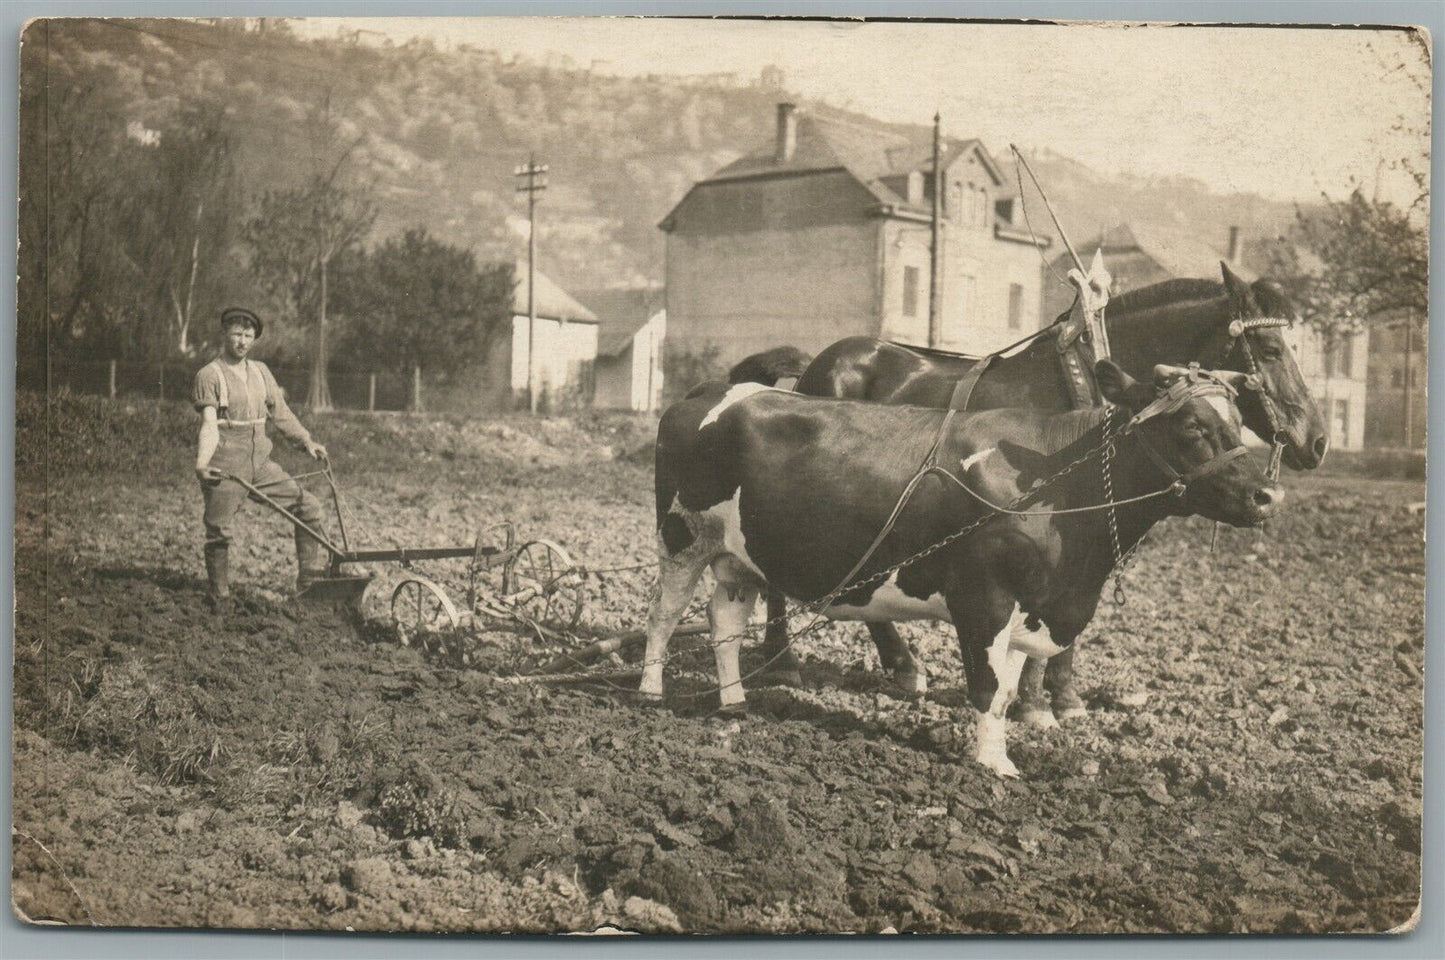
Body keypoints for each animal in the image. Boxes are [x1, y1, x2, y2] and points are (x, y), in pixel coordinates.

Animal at [638, 364, 1283, 774]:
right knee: (664, 616)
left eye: (1239, 425)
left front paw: (1001, 750)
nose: (1269, 495)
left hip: (737, 556)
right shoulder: (985, 597)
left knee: (723, 623)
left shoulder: (1034, 604)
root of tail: (715, 389)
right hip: (681, 536)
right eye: (1192, 427)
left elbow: (1008, 689)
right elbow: (987, 686)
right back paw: (650, 693)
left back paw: (734, 703)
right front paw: (993, 765)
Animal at [762, 263, 1323, 728]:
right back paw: (786, 661)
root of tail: (821, 362)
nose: (1315, 441)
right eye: (1271, 351)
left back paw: (900, 665)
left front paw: (1065, 696)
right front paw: (1034, 702)